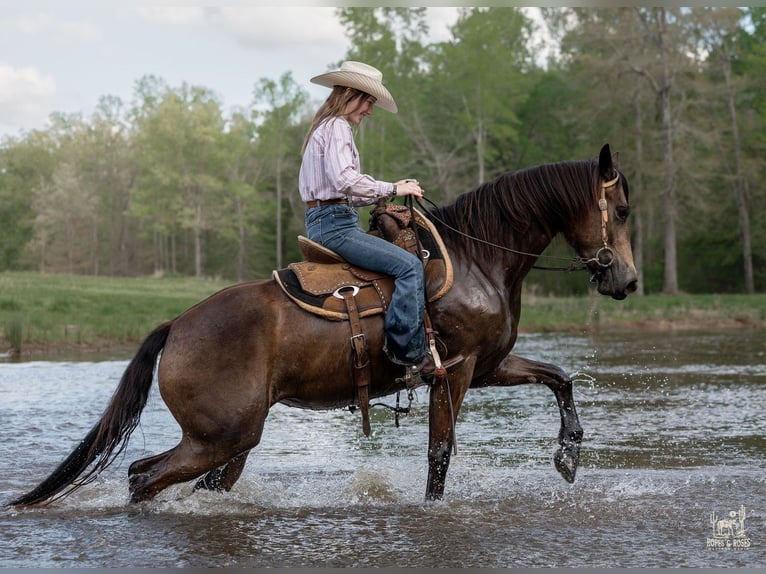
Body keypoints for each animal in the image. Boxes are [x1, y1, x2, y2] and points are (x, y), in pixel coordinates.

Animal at [9, 144, 637, 507]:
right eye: (624, 211)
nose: (627, 281)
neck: (478, 257)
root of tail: (178, 325)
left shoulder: (485, 367)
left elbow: (558, 376)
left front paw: (569, 457)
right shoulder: (453, 374)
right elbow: (440, 454)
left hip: (229, 442)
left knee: (175, 480)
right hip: (221, 436)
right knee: (143, 476)